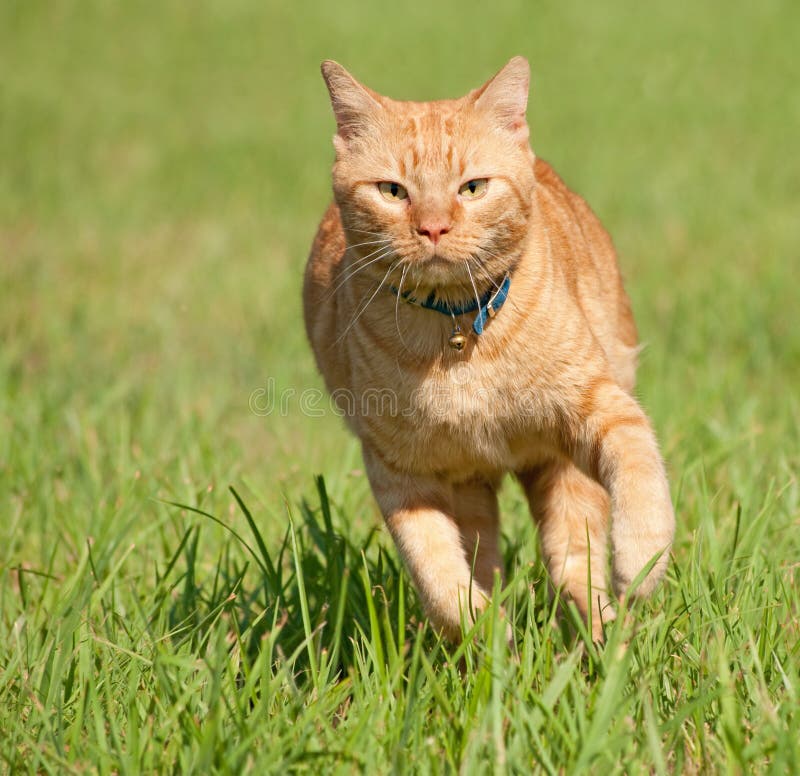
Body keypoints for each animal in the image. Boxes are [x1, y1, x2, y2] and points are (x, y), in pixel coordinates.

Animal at [304, 53, 672, 636]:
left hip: (561, 465)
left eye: (472, 188)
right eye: (393, 191)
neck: (456, 334)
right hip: (472, 483)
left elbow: (641, 473)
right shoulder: (400, 472)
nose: (433, 227)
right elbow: (437, 575)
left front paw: (639, 566)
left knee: (573, 555)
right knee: (489, 552)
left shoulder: (603, 406)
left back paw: (602, 632)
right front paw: (487, 631)